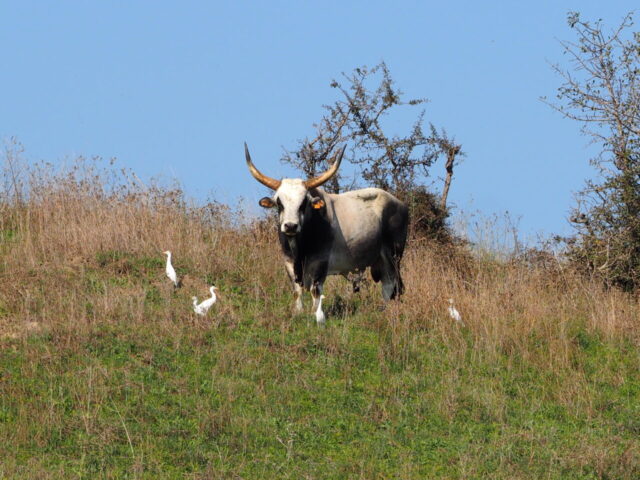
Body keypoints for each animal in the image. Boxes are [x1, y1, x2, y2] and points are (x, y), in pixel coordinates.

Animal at [242, 142, 408, 322]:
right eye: (279, 202)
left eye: (304, 202)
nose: (291, 226)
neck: (300, 247)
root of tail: (399, 203)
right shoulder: (289, 262)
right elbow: (296, 291)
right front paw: (298, 312)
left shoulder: (320, 263)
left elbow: (316, 292)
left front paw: (317, 315)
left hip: (393, 255)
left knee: (392, 285)